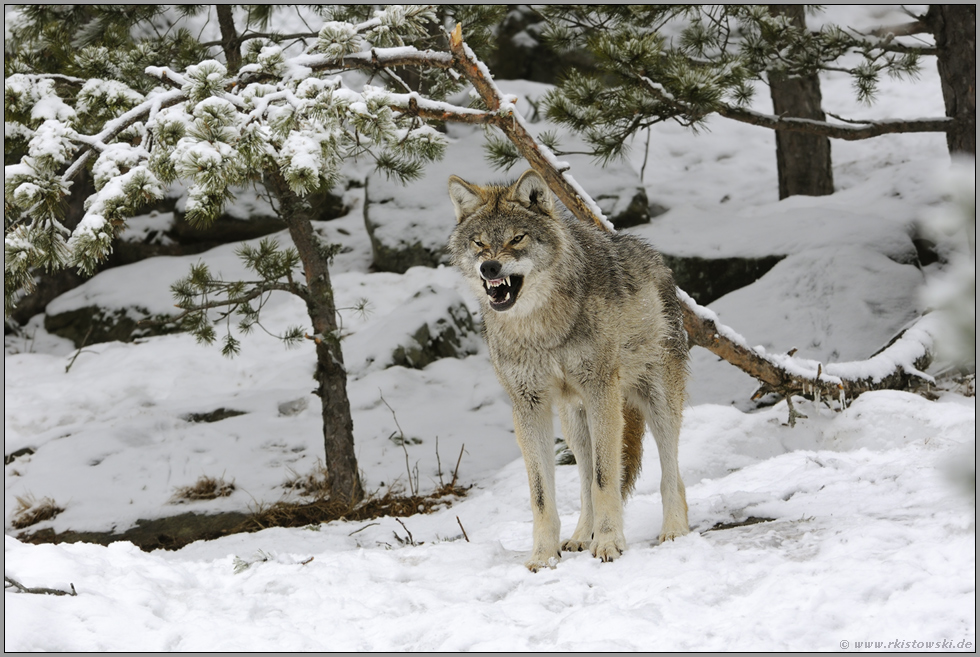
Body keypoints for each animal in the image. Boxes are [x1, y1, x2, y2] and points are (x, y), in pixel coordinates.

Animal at [448, 169, 690, 571]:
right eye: (479, 243)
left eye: (517, 238)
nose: (489, 267)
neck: (540, 327)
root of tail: (656, 258)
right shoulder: (527, 405)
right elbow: (543, 495)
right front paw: (543, 556)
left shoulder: (600, 390)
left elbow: (606, 480)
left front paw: (608, 543)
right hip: (576, 424)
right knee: (585, 477)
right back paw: (579, 537)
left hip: (656, 404)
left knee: (671, 472)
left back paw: (674, 531)